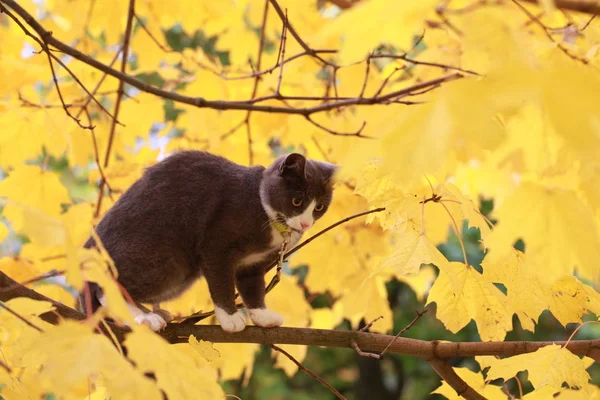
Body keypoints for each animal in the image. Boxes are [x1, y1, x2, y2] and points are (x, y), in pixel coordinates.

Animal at [82, 150, 338, 332]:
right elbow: (221, 281)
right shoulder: (216, 244)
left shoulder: (254, 264)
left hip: (180, 276)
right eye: (297, 201)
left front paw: (262, 315)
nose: (305, 224)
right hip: (162, 258)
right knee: (108, 287)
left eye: (319, 207)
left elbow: (253, 287)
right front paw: (230, 318)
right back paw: (145, 318)